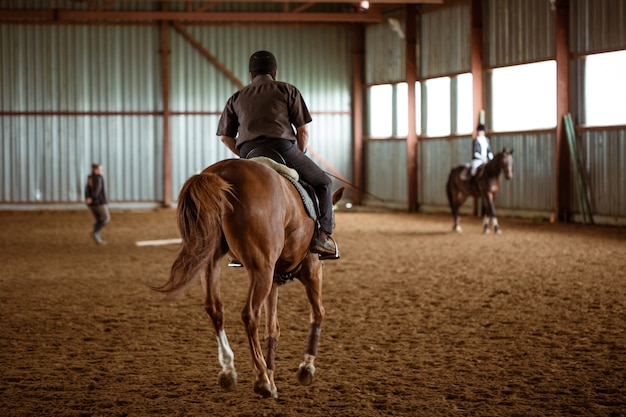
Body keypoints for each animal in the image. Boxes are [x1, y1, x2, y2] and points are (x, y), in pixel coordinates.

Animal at [152, 158, 346, 398]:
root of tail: (220, 172)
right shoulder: (311, 269)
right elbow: (318, 313)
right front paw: (305, 369)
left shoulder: (275, 279)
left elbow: (272, 329)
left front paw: (273, 375)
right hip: (261, 268)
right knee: (249, 314)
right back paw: (261, 380)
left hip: (212, 261)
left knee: (215, 309)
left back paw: (230, 370)